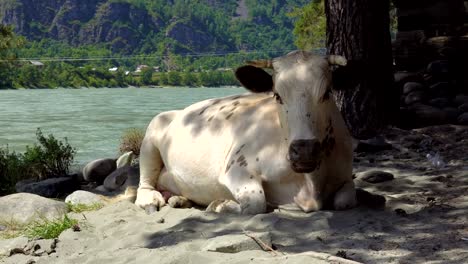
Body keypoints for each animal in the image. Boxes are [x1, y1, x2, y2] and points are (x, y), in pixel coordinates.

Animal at [135, 51, 358, 214]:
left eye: (327, 92)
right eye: (277, 95)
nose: (304, 150)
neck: (310, 184)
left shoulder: (346, 175)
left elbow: (346, 200)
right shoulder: (237, 168)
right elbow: (256, 203)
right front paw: (220, 204)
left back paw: (178, 198)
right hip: (152, 131)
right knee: (145, 182)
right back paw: (150, 200)